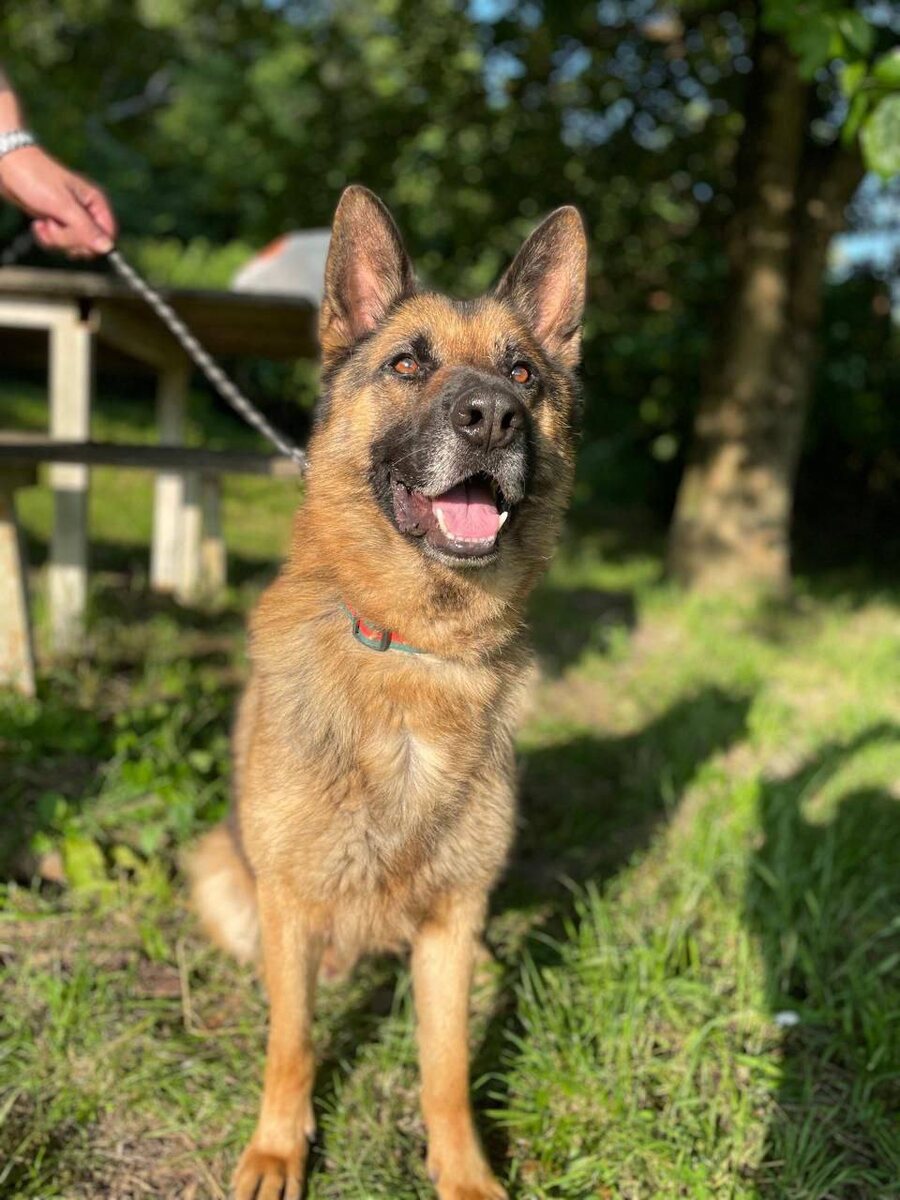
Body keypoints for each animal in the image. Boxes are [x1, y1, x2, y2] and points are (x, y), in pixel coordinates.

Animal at [188, 185, 587, 1200]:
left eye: (523, 373)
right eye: (409, 363)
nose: (493, 418)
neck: (415, 650)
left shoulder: (450, 923)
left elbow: (444, 1065)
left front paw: (464, 1172)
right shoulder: (291, 906)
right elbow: (291, 1042)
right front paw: (278, 1150)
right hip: (223, 875)